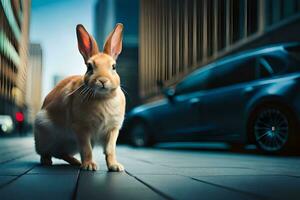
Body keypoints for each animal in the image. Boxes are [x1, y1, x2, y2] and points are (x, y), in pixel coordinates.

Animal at [33, 22, 125, 171]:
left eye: (114, 67)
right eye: (89, 67)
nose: (103, 80)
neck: (103, 97)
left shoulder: (112, 130)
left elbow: (110, 150)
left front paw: (115, 166)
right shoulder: (81, 128)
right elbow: (86, 149)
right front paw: (90, 166)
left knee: (61, 153)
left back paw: (75, 162)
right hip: (44, 134)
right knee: (46, 153)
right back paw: (48, 161)